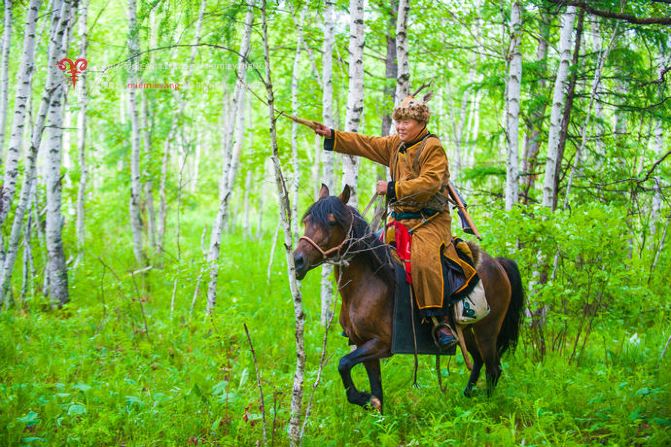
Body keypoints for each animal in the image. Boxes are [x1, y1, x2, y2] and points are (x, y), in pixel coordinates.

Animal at [294, 186, 524, 412]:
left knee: (493, 368)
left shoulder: (381, 344)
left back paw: (487, 407)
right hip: (467, 332)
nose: (298, 261)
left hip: (487, 331)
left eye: (332, 222)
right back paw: (468, 396)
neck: (369, 283)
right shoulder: (364, 344)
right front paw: (373, 407)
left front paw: (364, 398)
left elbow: (343, 364)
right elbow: (376, 389)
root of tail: (498, 263)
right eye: (306, 221)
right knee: (478, 361)